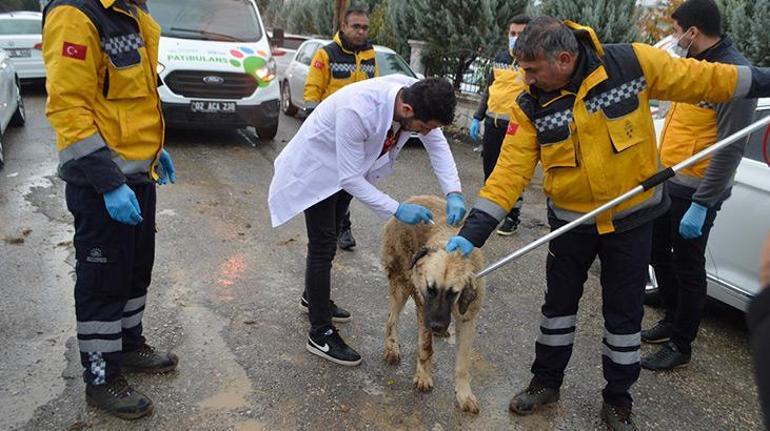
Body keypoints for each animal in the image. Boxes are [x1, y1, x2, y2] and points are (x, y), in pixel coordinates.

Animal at [380, 196, 484, 416]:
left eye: (453, 293)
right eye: (431, 289)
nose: (436, 326)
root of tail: (411, 199)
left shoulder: (467, 319)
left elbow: (463, 364)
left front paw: (464, 394)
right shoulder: (423, 306)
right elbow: (425, 346)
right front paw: (423, 376)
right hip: (401, 285)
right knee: (391, 319)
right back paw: (392, 346)